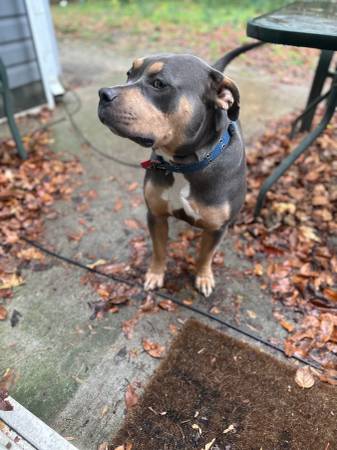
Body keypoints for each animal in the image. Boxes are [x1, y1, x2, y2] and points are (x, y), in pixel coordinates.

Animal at [98, 52, 245, 298]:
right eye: (129, 74)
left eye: (159, 84)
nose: (103, 94)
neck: (183, 166)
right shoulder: (155, 216)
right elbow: (159, 250)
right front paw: (155, 274)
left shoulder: (216, 229)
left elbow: (205, 256)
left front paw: (203, 277)